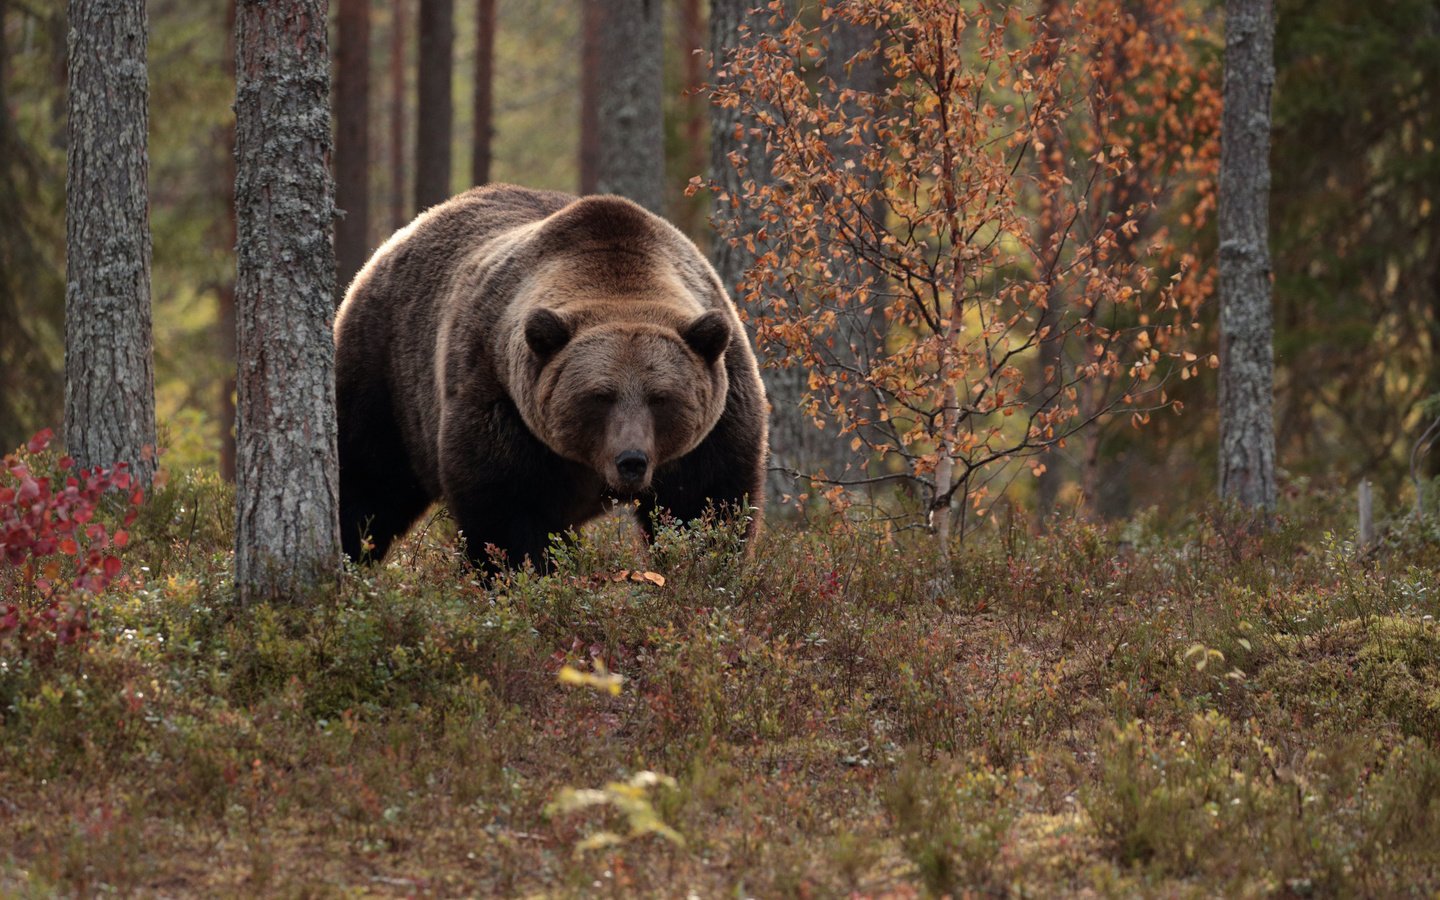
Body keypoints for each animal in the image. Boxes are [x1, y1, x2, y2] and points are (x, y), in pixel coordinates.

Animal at [332, 182, 771, 567]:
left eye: (661, 397)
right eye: (599, 395)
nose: (631, 460)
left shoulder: (719, 416)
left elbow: (706, 505)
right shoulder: (499, 396)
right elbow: (508, 512)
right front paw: (518, 574)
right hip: (388, 373)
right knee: (366, 478)